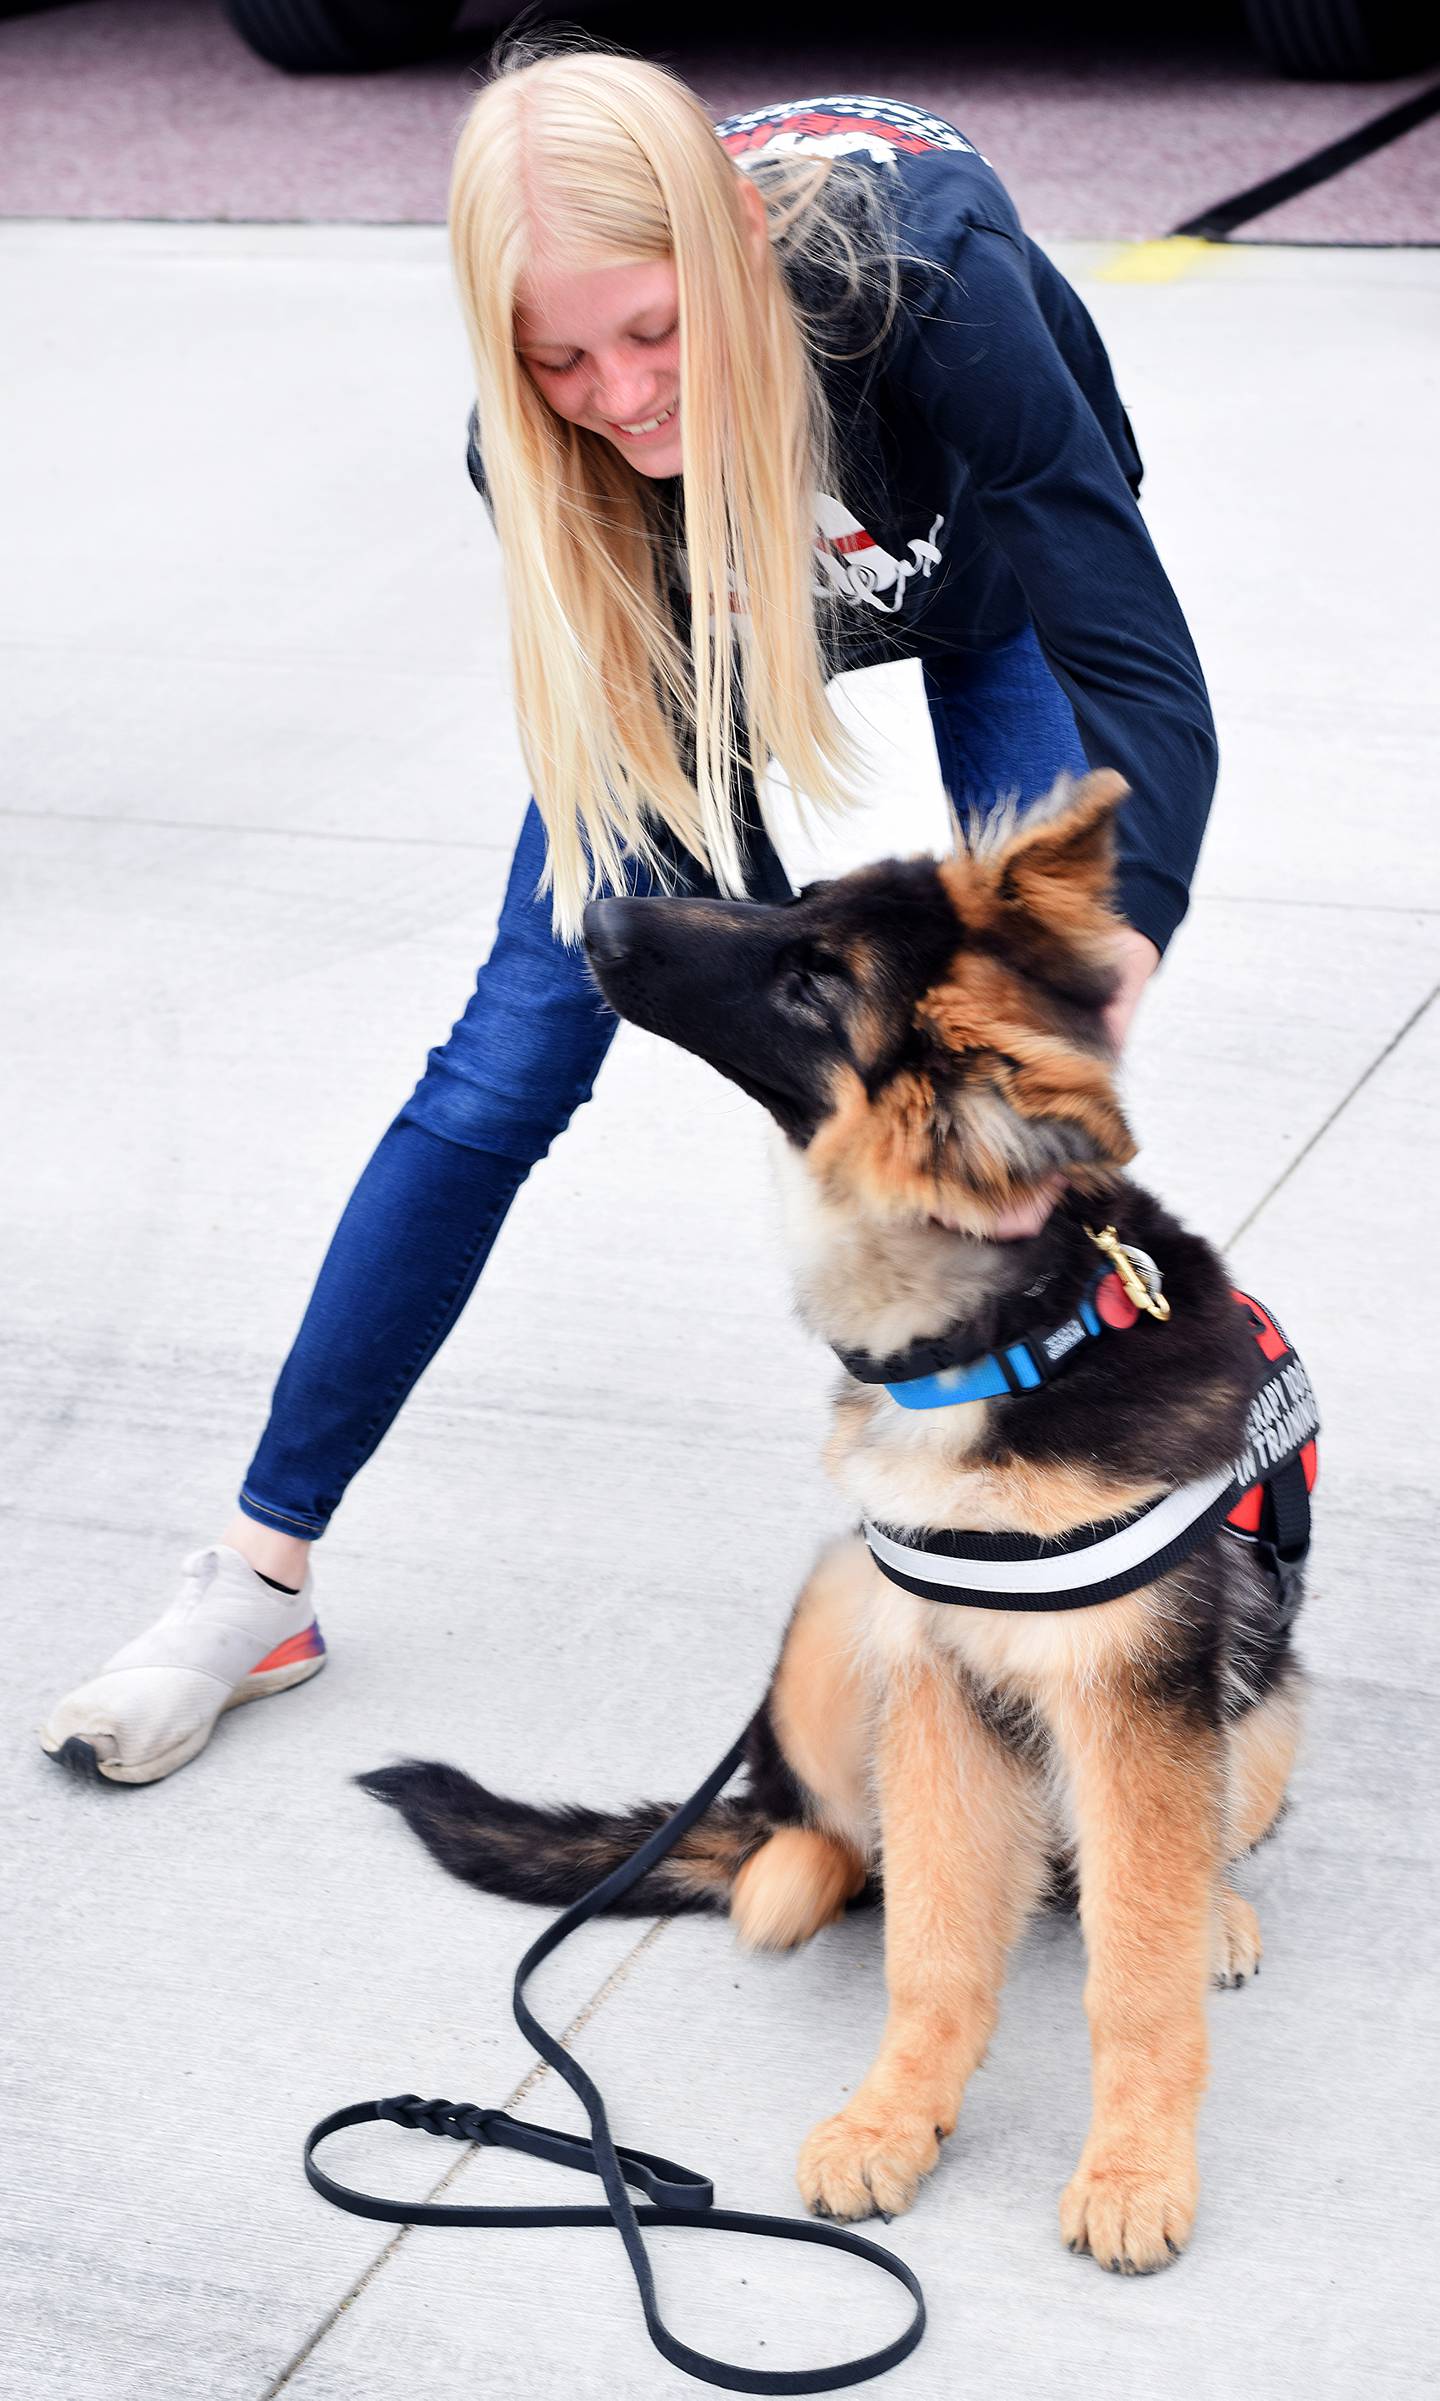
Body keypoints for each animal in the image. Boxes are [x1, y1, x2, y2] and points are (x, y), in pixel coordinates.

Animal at [360, 768, 1305, 2266]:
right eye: (794, 902)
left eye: (816, 980)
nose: (602, 906)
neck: (1011, 1341)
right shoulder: (930, 1676)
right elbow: (931, 1941)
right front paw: (892, 2117)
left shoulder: (1133, 1699)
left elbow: (1135, 1971)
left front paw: (1136, 2165)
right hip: (830, 1620)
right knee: (810, 1829)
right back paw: (786, 1879)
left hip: (1261, 1719)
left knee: (1164, 1858)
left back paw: (1210, 1911)